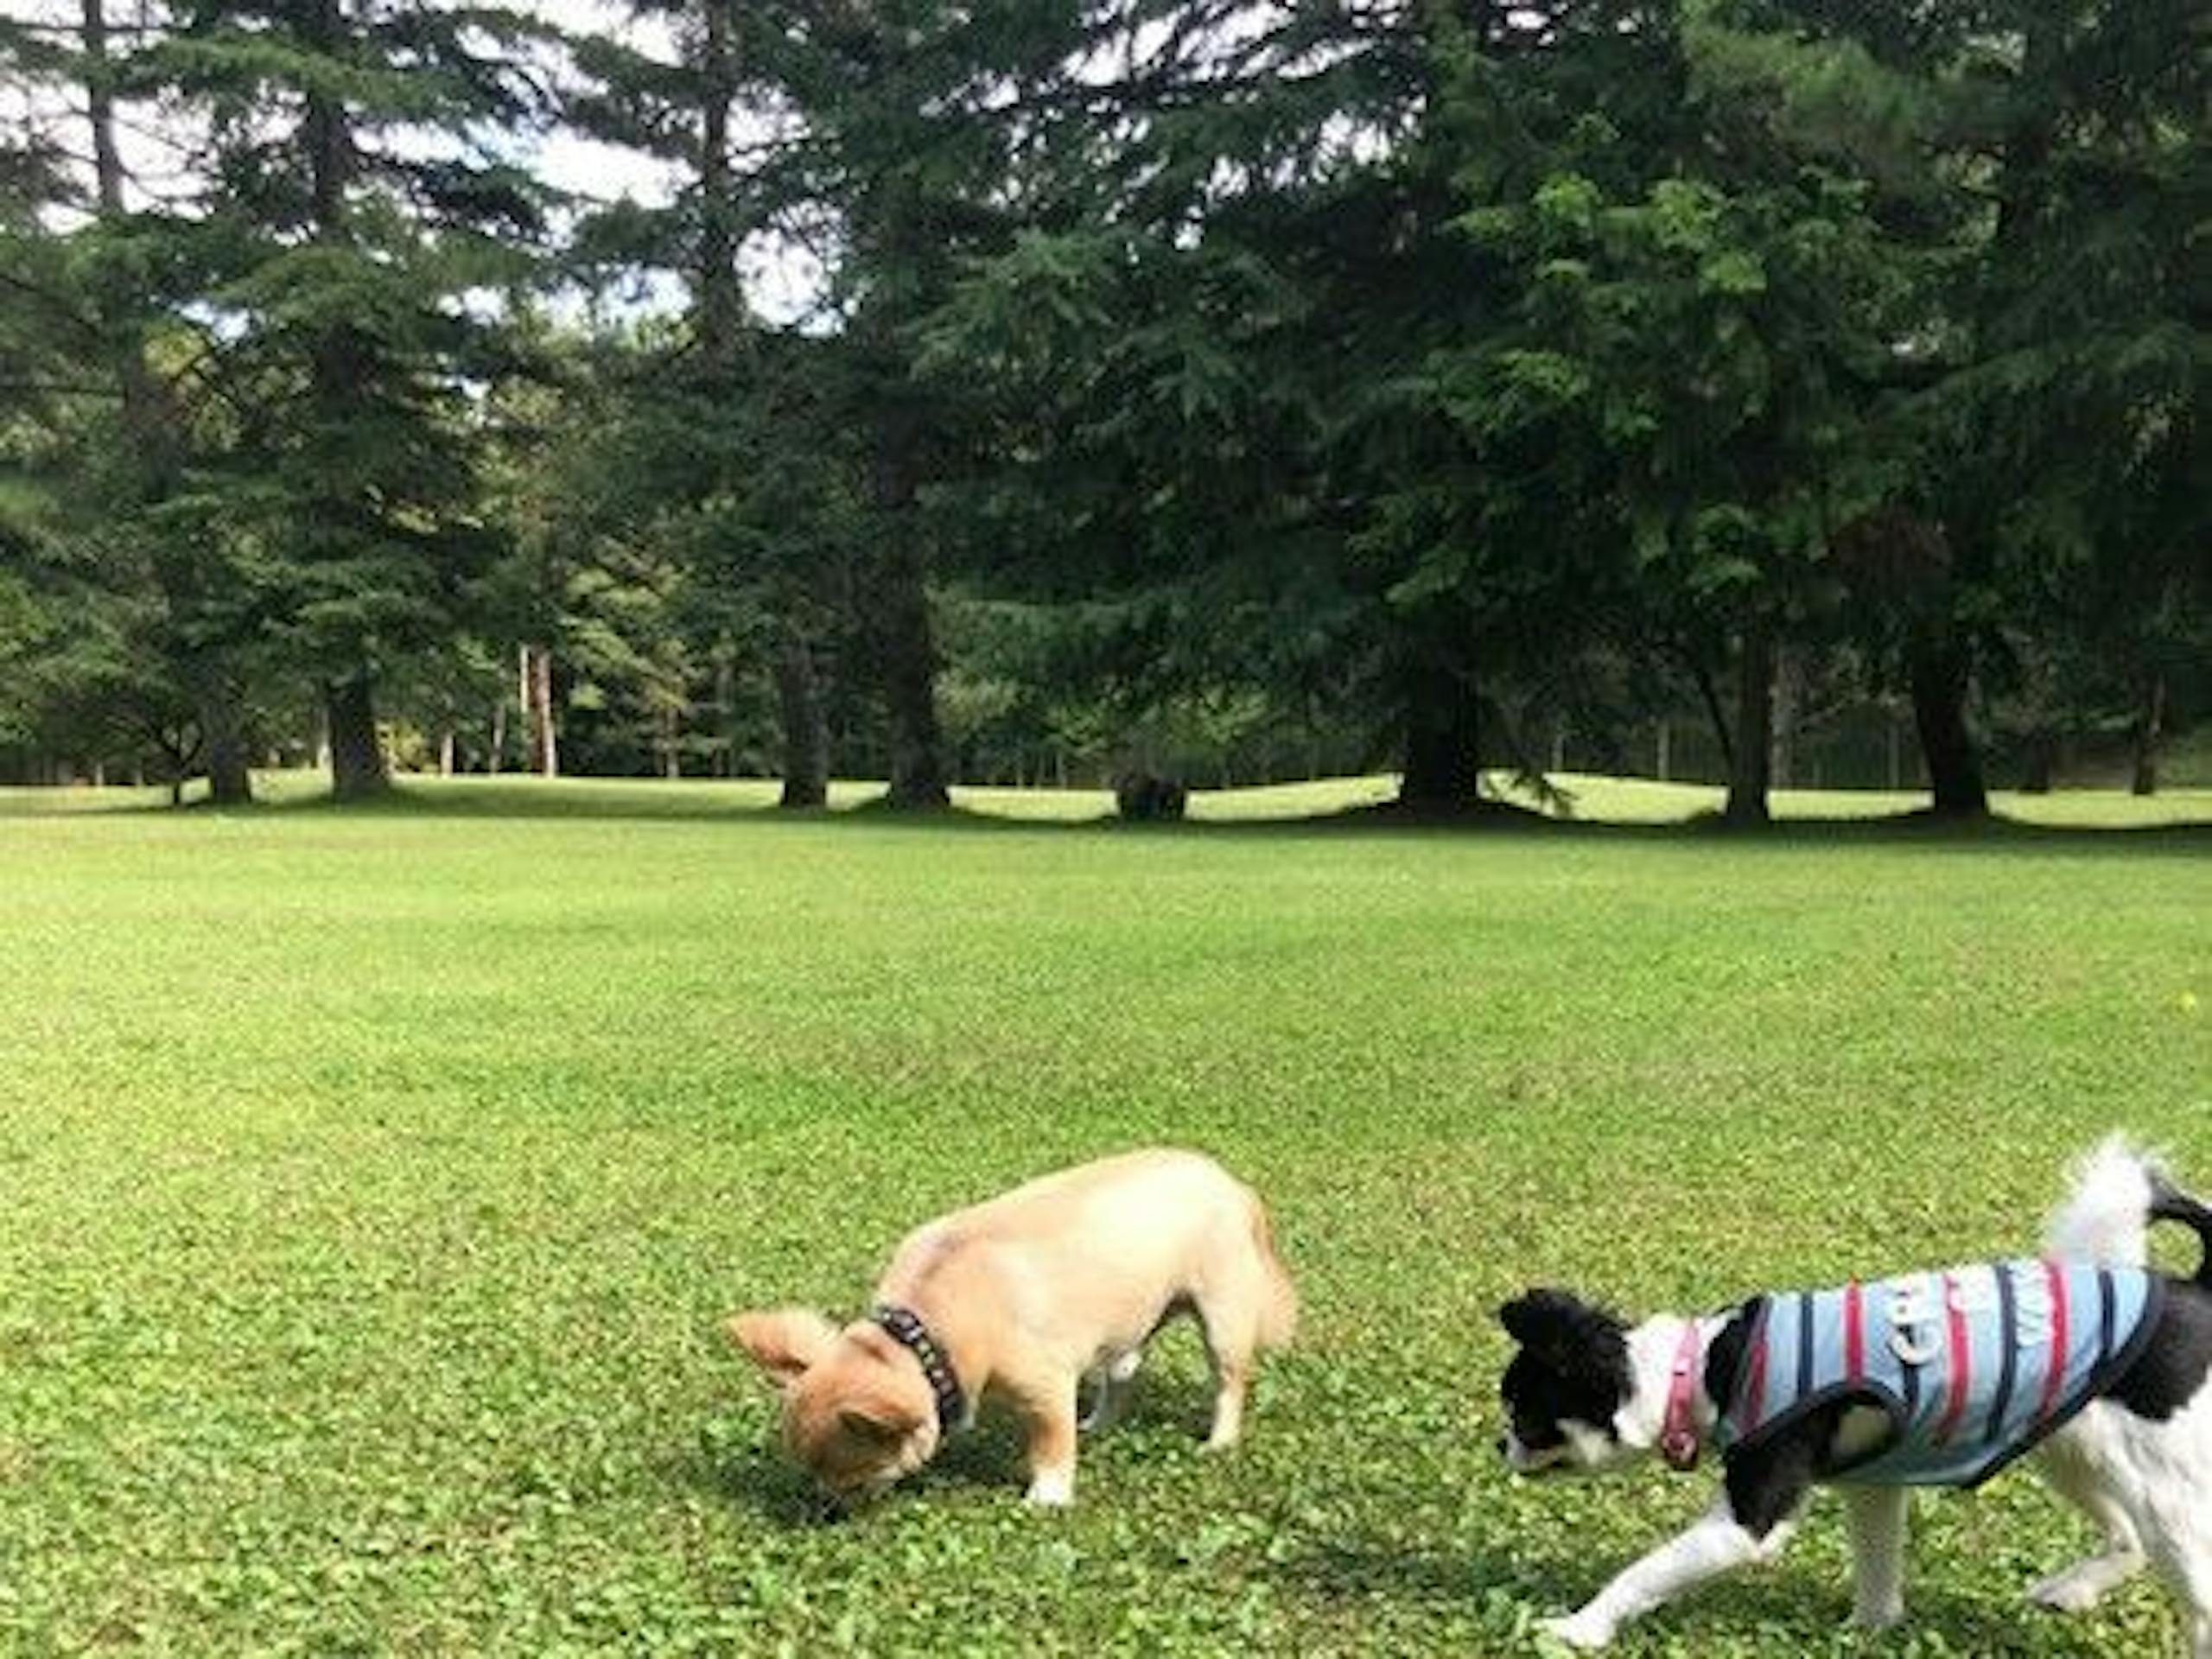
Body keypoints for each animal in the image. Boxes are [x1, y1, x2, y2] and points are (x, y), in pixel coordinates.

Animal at [725, 1150, 1292, 1513]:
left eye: (853, 1480)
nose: (824, 1506)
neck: (924, 1334)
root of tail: (1233, 1183)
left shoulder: (1046, 1384)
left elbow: (1051, 1443)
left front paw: (1049, 1497)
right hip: (1129, 1327)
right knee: (1124, 1372)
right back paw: (1098, 1423)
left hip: (1222, 1317)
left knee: (1229, 1383)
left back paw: (1219, 1441)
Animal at [1503, 1150, 2212, 1654]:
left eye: (1522, 1415)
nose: (1497, 1443)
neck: (1701, 1367)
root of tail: (2193, 1291)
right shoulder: (1874, 1483)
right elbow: (1877, 1571)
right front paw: (1868, 1631)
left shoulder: (1748, 1520)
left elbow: (1643, 1573)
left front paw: (1578, 1628)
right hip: (2070, 1446)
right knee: (2128, 1538)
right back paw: (2070, 1590)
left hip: (2164, 1488)